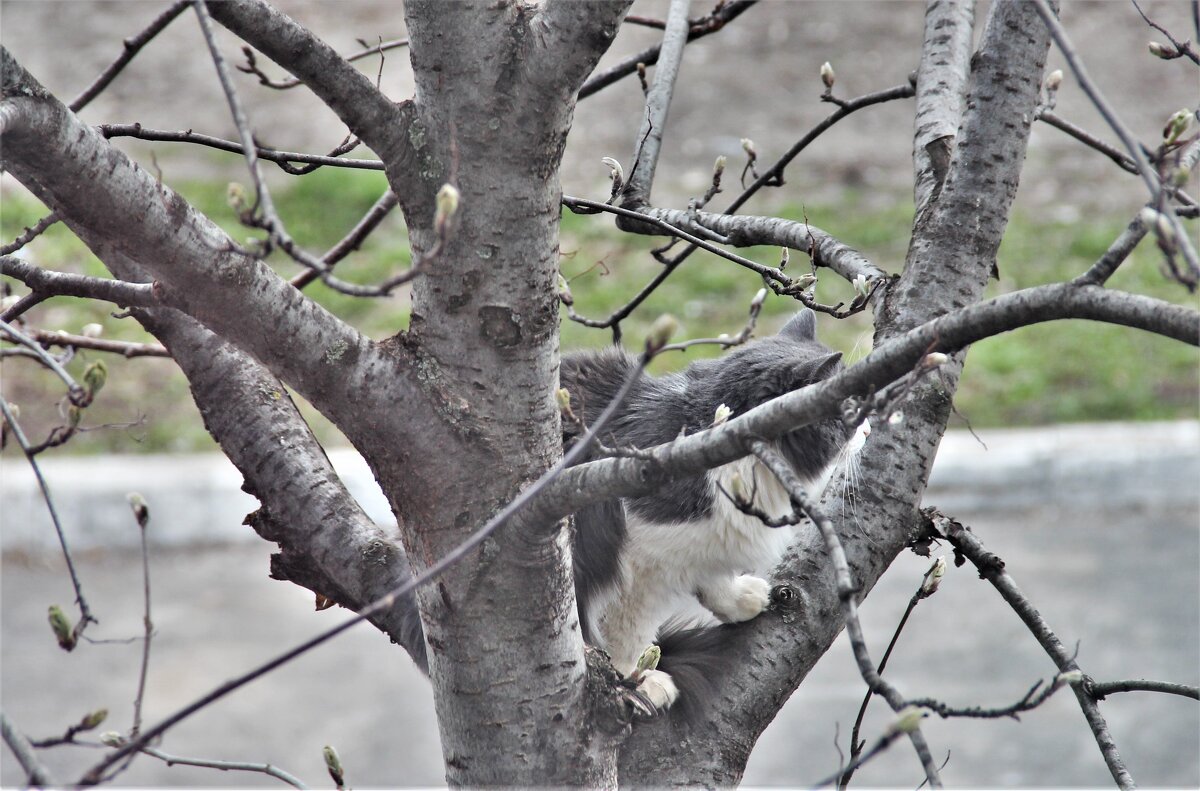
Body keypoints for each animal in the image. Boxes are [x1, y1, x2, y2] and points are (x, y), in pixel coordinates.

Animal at [556, 312, 868, 724]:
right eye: (851, 411)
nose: (869, 428)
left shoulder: (706, 543)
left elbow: (715, 578)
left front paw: (744, 599)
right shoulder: (639, 565)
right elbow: (625, 632)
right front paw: (634, 682)